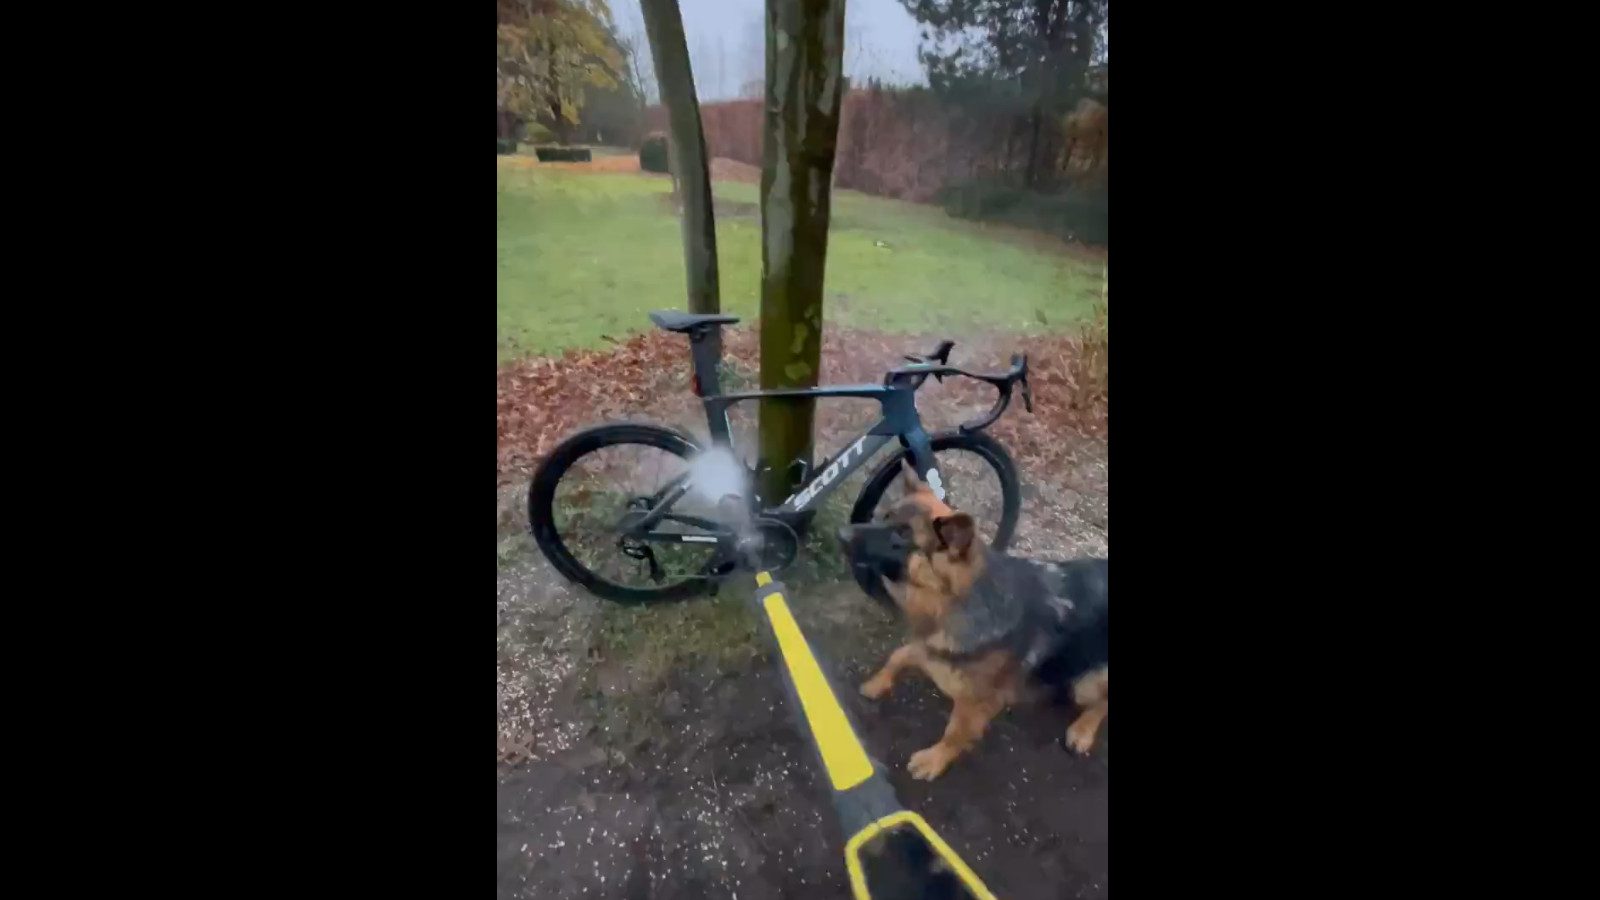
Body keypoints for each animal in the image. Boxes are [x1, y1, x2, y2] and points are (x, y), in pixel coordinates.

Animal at [832, 461, 1107, 778]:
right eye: (884, 517)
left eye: (901, 535)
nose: (840, 533)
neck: (955, 599)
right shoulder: (929, 646)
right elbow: (899, 655)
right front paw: (879, 683)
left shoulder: (976, 704)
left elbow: (955, 733)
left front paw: (934, 760)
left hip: (1086, 683)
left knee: (1103, 702)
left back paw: (1083, 730)